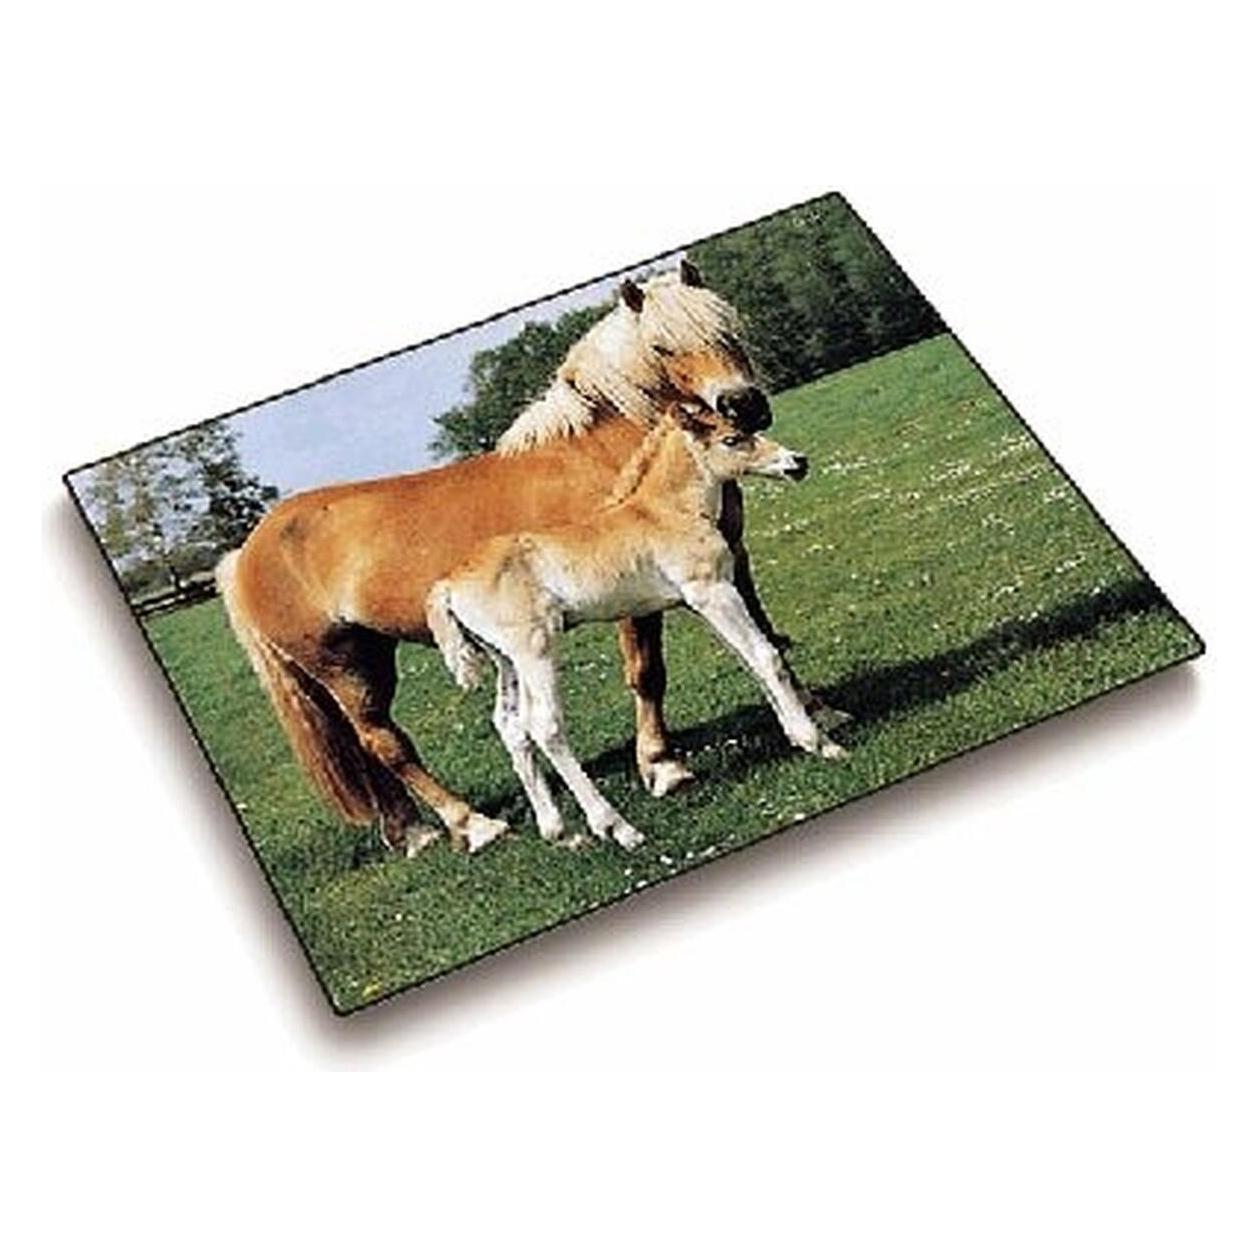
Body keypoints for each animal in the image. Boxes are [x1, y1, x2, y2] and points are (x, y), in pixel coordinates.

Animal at [217, 261, 790, 855]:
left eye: (728, 328)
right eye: (662, 345)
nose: (744, 405)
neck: (604, 459)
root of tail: (245, 553)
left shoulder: (732, 561)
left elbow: (766, 639)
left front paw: (812, 713)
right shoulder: (637, 600)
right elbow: (647, 673)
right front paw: (662, 767)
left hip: (368, 659)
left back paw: (414, 831)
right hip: (346, 667)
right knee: (383, 742)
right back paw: (471, 824)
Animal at [427, 402, 848, 851]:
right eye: (732, 439)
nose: (797, 462)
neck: (667, 510)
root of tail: (448, 584)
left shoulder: (702, 602)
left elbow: (748, 660)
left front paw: (795, 733)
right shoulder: (712, 591)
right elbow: (766, 656)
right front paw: (818, 743)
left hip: (505, 660)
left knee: (510, 727)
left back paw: (559, 832)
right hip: (534, 649)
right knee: (544, 725)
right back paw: (616, 827)